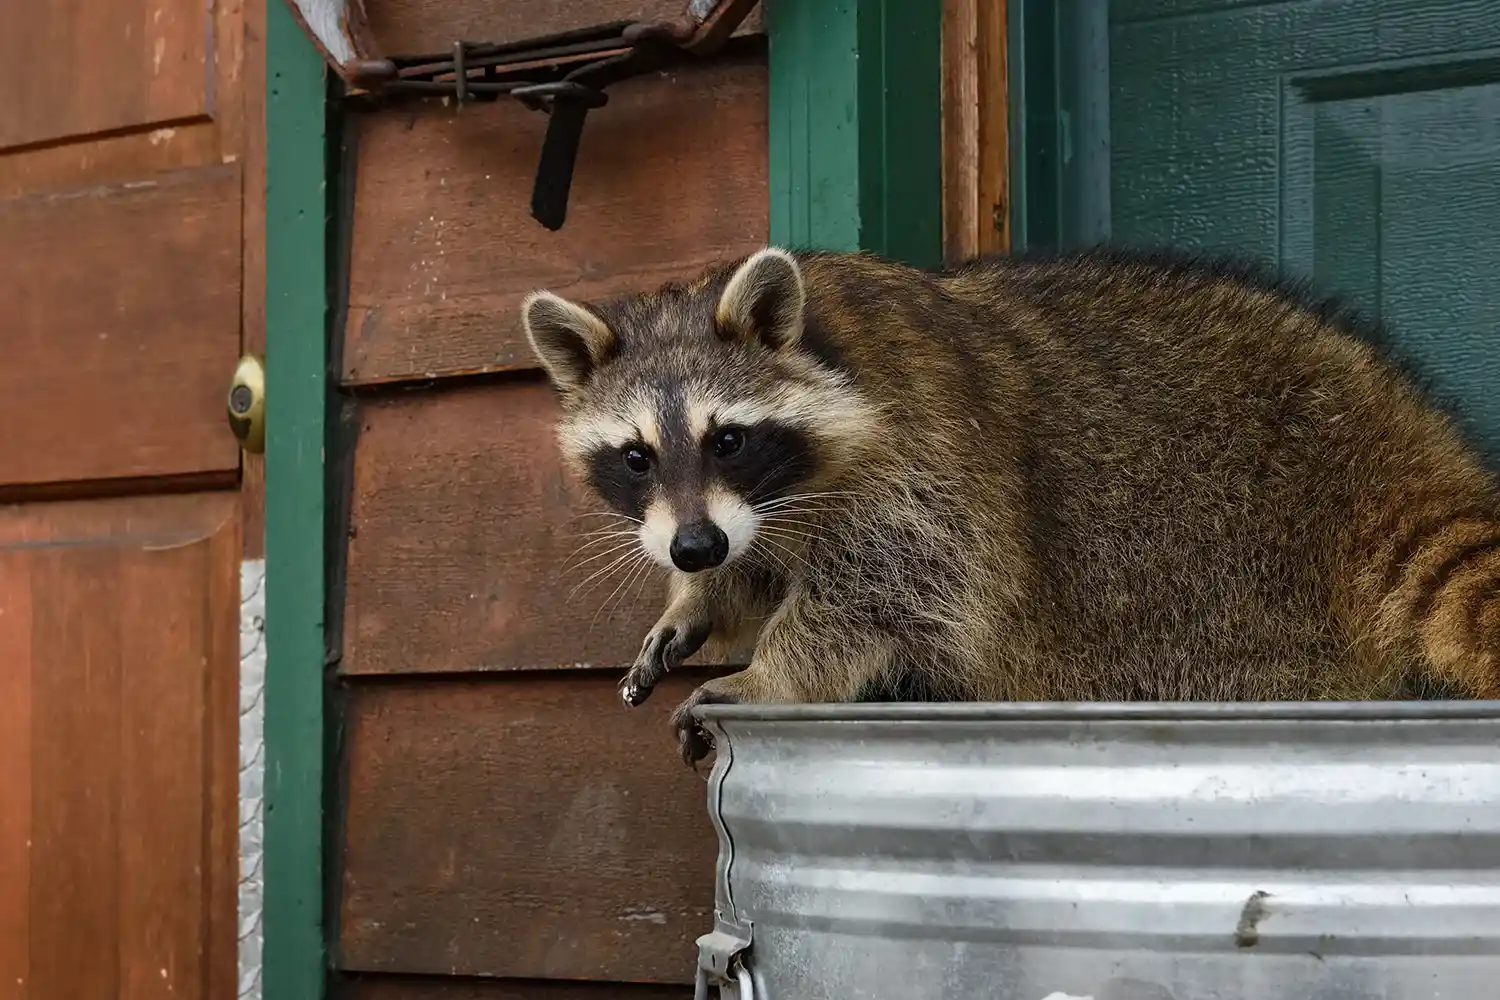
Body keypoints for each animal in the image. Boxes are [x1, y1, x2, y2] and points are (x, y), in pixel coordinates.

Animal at [521, 245, 1500, 765]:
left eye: (727, 439)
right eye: (636, 457)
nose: (691, 550)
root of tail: (1398, 451)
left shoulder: (923, 463)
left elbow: (890, 589)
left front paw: (770, 672)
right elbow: (754, 561)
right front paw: (693, 603)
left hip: (1226, 588)